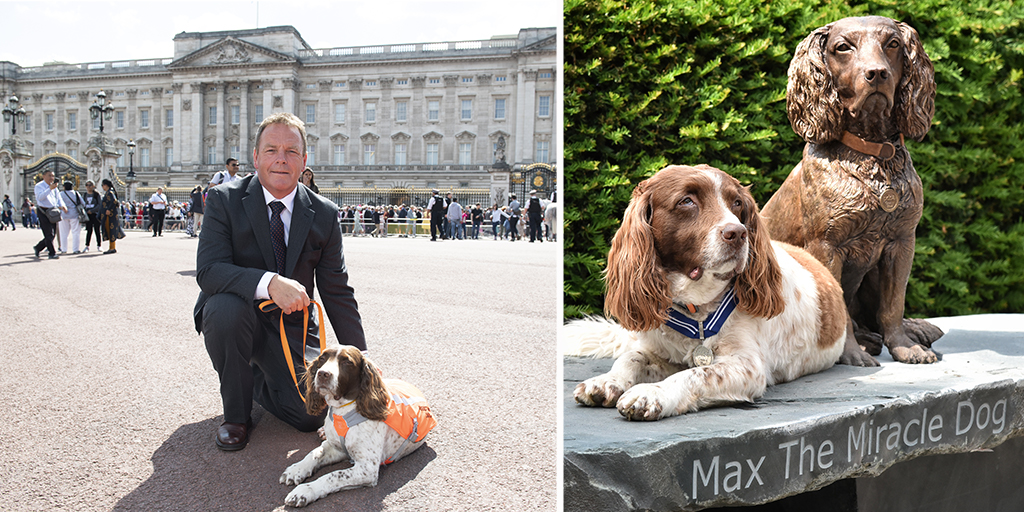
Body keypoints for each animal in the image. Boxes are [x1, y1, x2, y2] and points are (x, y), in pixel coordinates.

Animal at [280, 346, 436, 505]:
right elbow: (315, 453)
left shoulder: (367, 468)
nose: (323, 374)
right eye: (322, 358)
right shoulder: (337, 448)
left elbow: (333, 475)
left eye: (347, 362)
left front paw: (305, 491)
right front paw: (296, 470)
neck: (343, 411)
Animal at [565, 165, 843, 421]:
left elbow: (696, 374)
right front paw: (606, 381)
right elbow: (632, 356)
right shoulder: (664, 352)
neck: (696, 307)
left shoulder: (748, 366)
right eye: (686, 201)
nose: (738, 233)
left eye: (737, 203)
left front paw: (652, 393)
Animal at [765, 16, 937, 366]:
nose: (877, 73)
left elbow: (893, 305)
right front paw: (850, 354)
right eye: (843, 47)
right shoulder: (827, 246)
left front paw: (905, 346)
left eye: (893, 44)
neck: (871, 155)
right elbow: (840, 310)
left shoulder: (901, 241)